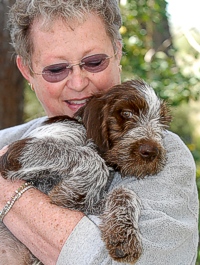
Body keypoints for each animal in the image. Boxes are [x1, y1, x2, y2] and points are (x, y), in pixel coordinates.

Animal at [0, 79, 172, 262]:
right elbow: (89, 157)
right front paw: (74, 192)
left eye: (161, 122)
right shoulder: (19, 152)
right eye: (127, 113)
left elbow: (125, 193)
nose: (151, 151)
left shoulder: (92, 205)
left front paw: (124, 235)